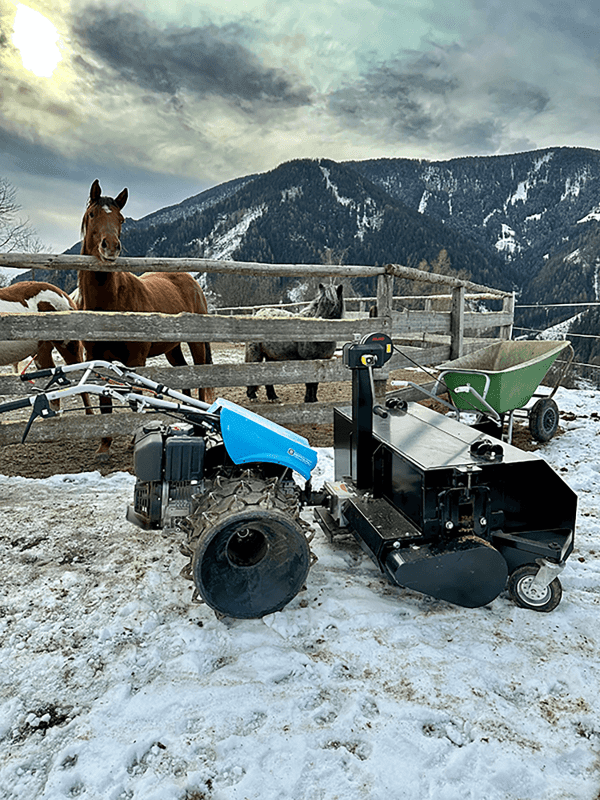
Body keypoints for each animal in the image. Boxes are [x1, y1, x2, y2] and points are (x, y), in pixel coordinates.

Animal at [78, 179, 214, 459]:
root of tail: (191, 280)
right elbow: (105, 403)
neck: (110, 308)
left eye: (120, 219)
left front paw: (134, 438)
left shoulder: (136, 359)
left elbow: (135, 398)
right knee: (184, 373)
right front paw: (104, 445)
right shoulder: (95, 357)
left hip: (196, 343)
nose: (110, 247)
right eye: (93, 214)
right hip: (172, 349)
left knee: (200, 376)